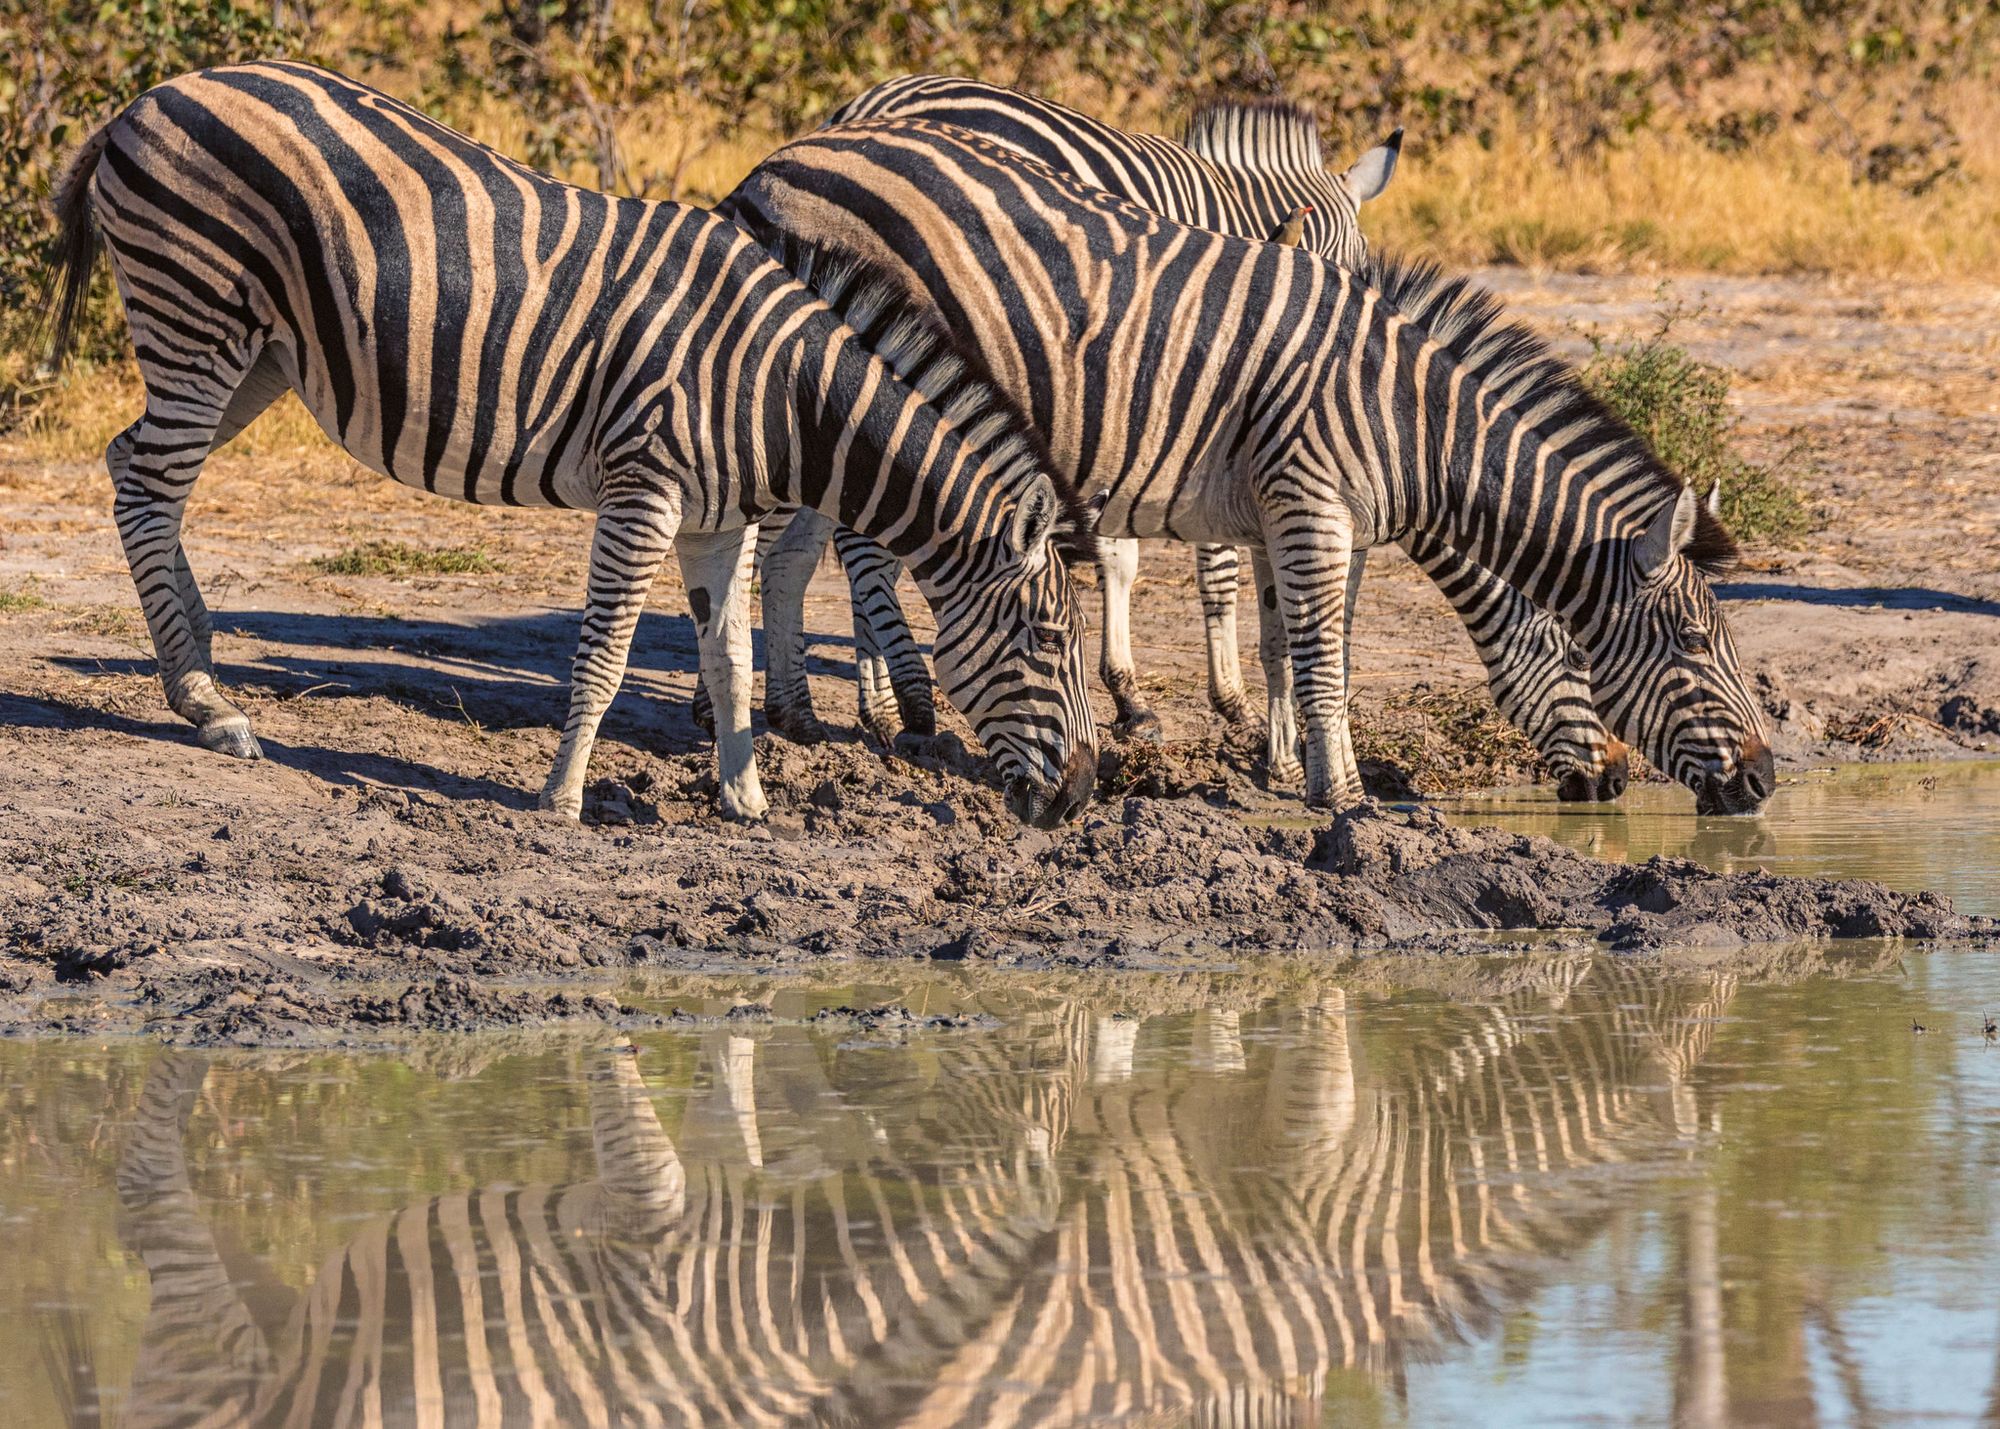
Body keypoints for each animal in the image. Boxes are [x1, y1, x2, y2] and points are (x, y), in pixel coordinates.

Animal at [39, 64, 1096, 824]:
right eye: (1051, 640)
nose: (1084, 796)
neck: (780, 391)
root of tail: (149, 96)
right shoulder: (643, 491)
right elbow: (606, 652)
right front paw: (561, 796)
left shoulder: (717, 522)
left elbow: (730, 656)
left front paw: (746, 800)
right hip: (196, 313)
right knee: (149, 486)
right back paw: (206, 703)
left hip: (258, 351)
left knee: (132, 463)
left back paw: (195, 662)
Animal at [724, 119, 1784, 812]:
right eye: (1695, 644)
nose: (1765, 781)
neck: (1411, 423)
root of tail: (780, 159)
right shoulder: (1314, 504)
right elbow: (1325, 652)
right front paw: (1344, 797)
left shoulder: (1290, 512)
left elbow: (1287, 643)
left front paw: (1283, 769)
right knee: (825, 547)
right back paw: (882, 704)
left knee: (790, 551)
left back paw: (792, 711)